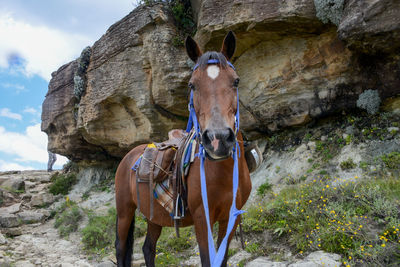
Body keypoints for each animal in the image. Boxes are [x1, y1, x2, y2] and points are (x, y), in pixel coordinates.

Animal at [115, 31, 250, 267]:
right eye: (191, 85)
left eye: (236, 81)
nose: (218, 139)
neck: (223, 174)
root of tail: (129, 156)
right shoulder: (202, 219)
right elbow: (207, 260)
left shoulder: (230, 218)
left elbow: (222, 260)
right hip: (124, 212)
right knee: (121, 249)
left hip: (154, 216)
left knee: (148, 248)